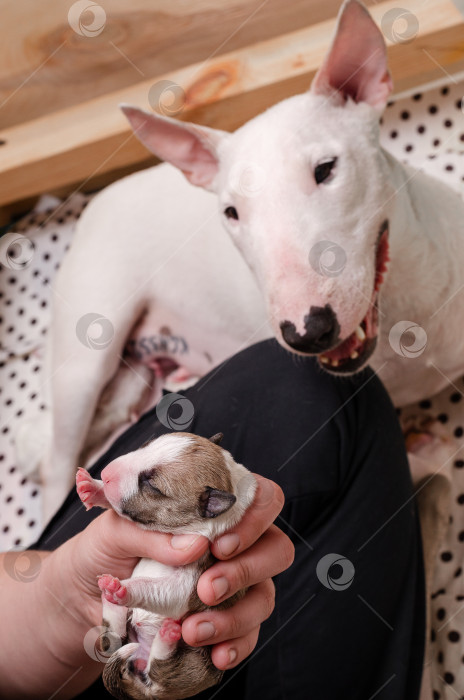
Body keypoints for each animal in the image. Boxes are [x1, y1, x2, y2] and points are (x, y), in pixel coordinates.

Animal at [76, 430, 258, 696]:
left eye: (152, 485)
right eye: (146, 444)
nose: (106, 473)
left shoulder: (192, 583)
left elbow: (166, 591)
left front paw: (124, 589)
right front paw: (90, 486)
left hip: (194, 666)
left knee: (161, 673)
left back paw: (165, 635)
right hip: (124, 642)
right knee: (113, 639)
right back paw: (111, 599)